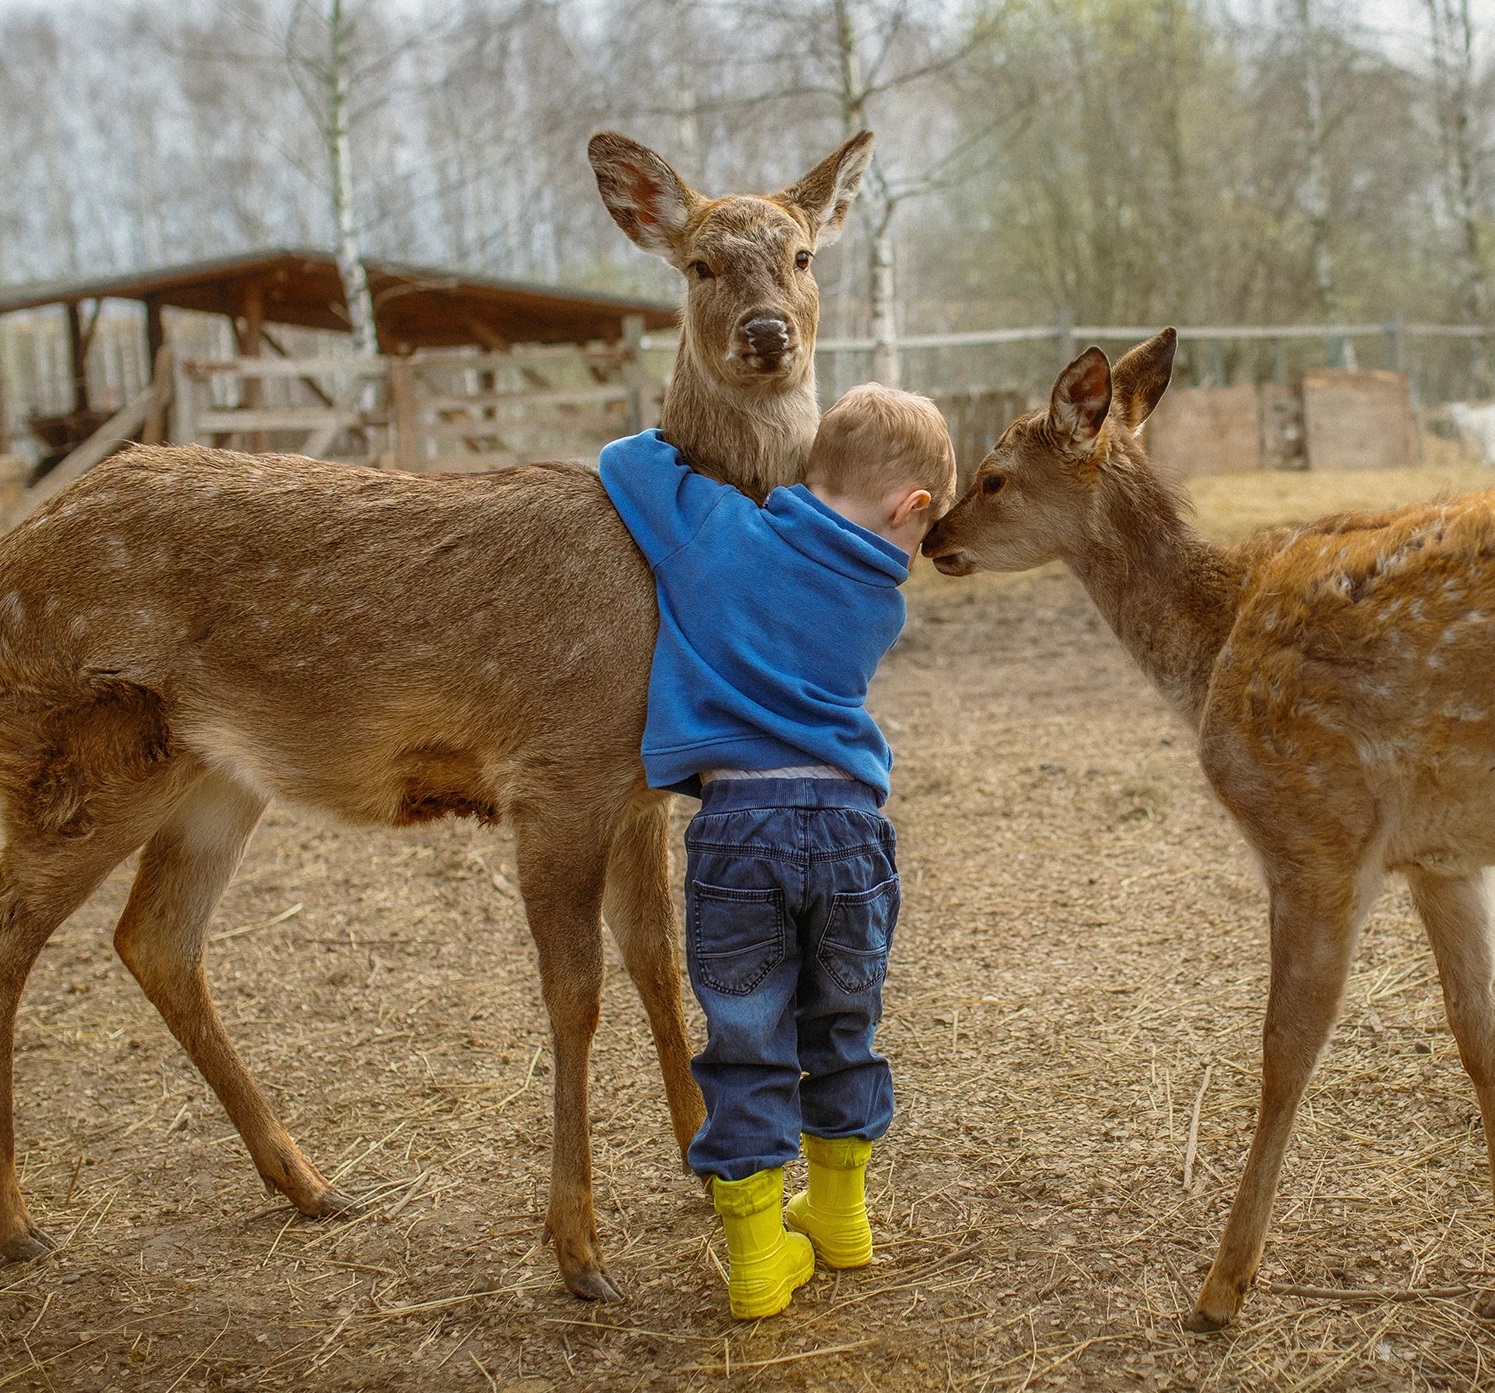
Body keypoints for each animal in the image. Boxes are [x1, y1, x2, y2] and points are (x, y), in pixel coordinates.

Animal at [0, 124, 873, 1303]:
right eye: (698, 264)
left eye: (801, 255)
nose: (767, 334)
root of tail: (16, 549)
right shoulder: (554, 769)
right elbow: (575, 993)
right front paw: (579, 1251)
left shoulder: (638, 789)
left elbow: (657, 966)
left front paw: (710, 1174)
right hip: (80, 751)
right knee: (20, 928)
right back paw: (21, 1224)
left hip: (212, 773)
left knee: (155, 938)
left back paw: (309, 1182)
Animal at [914, 328, 1495, 1327]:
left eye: (991, 477)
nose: (932, 537)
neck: (1212, 638)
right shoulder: (1440, 856)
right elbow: (1477, 1039)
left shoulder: (1314, 832)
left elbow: (1283, 1049)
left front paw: (1223, 1284)